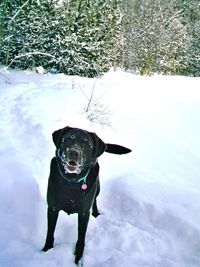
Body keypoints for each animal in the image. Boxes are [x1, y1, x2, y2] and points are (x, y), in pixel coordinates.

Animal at [42, 126, 131, 264]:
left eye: (86, 143)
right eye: (67, 139)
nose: (74, 153)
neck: (71, 182)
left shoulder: (84, 213)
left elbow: (81, 238)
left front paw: (78, 259)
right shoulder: (52, 208)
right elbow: (50, 232)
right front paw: (46, 250)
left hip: (97, 187)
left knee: (95, 200)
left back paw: (96, 213)